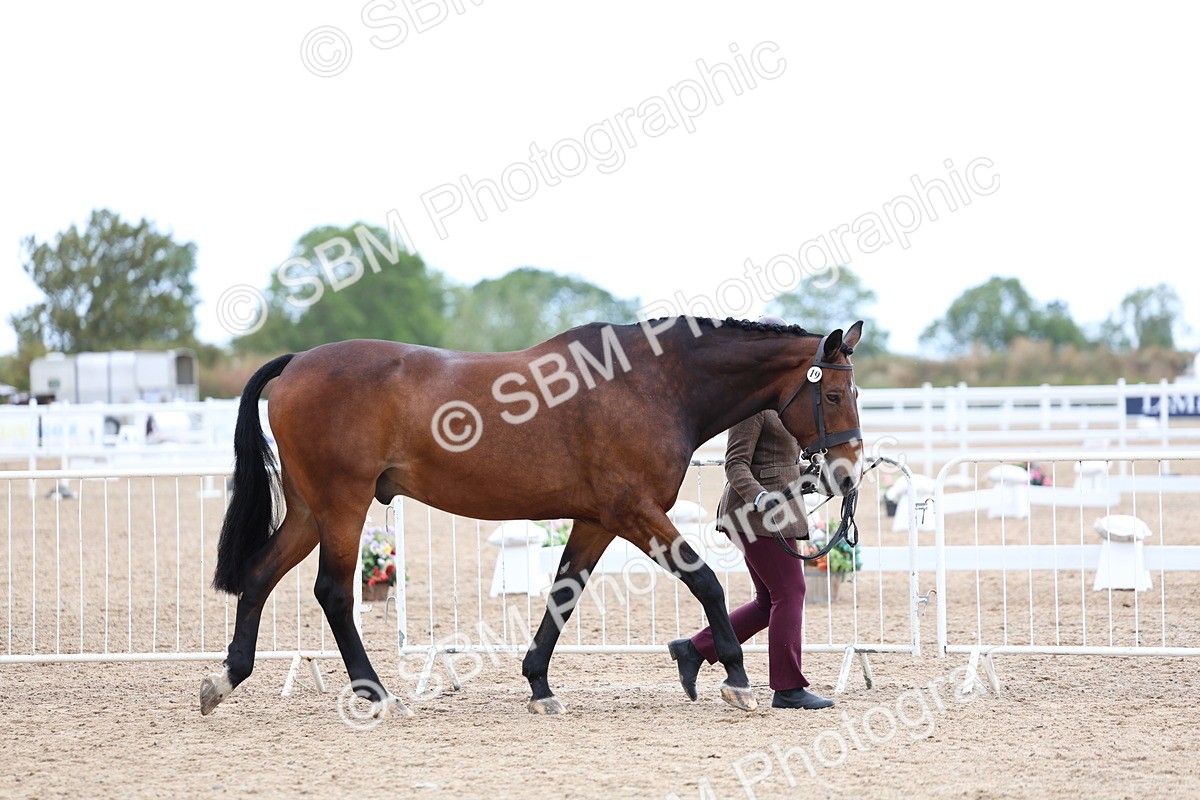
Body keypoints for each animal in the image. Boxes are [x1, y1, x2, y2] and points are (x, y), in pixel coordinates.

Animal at [199, 315, 865, 717]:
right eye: (834, 394)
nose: (849, 473)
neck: (651, 385)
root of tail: (296, 364)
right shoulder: (635, 510)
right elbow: (704, 580)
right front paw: (736, 679)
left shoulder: (599, 520)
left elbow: (564, 594)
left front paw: (539, 684)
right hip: (343, 503)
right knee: (333, 592)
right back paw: (377, 694)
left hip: (310, 510)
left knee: (260, 575)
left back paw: (226, 678)